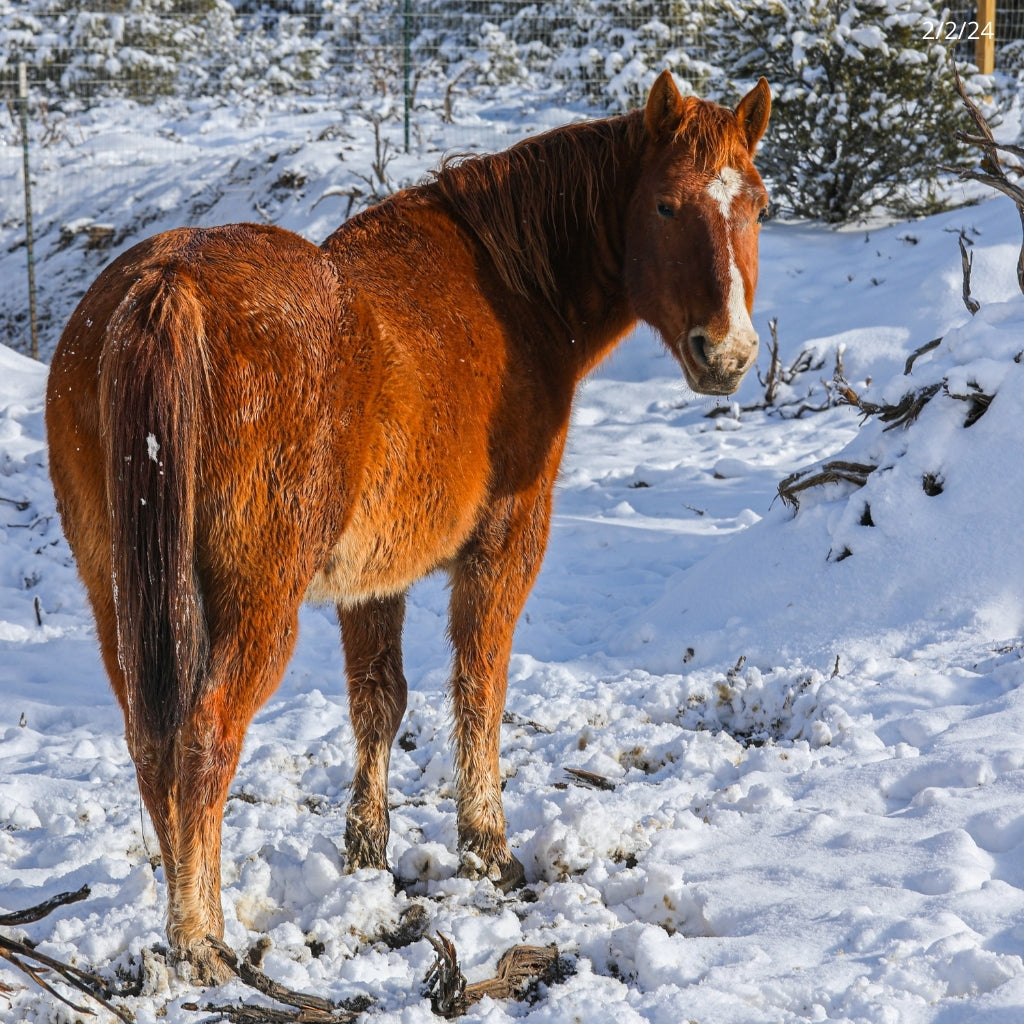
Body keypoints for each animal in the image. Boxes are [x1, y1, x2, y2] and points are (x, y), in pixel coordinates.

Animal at [46, 72, 770, 983]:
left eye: (759, 205)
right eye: (668, 205)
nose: (729, 354)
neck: (509, 289)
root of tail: (166, 282)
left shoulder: (370, 580)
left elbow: (378, 701)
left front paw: (366, 852)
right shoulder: (505, 545)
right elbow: (479, 688)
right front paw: (487, 849)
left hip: (121, 596)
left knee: (150, 740)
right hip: (256, 607)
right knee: (204, 739)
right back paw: (200, 939)